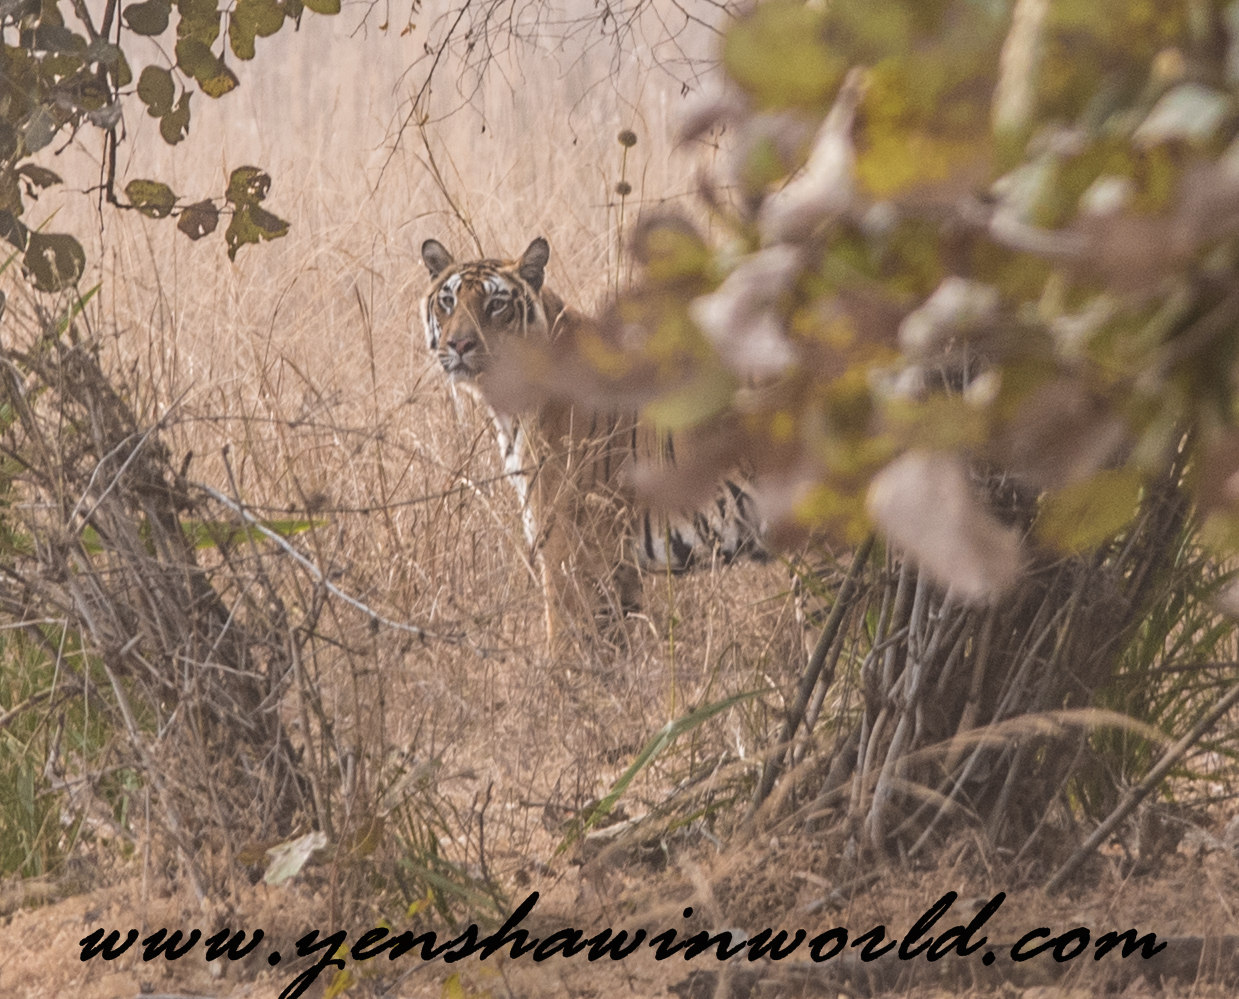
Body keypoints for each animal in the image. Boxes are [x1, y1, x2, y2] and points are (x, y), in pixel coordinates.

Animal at [420, 235, 767, 649]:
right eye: (447, 301)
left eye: (496, 304)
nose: (459, 344)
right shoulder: (620, 570)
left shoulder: (571, 552)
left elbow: (566, 645)